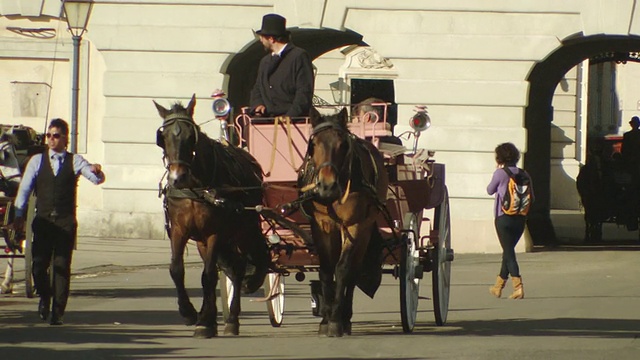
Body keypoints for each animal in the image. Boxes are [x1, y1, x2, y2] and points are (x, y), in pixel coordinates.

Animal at [154, 95, 268, 338]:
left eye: (191, 136)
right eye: (163, 137)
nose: (177, 177)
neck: (195, 187)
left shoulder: (215, 232)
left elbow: (208, 276)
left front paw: (203, 319)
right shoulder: (179, 230)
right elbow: (177, 269)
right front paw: (191, 313)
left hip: (244, 230)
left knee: (241, 267)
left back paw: (233, 317)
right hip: (207, 240)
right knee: (228, 267)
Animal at [302, 107, 390, 338]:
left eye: (342, 145)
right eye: (314, 144)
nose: (326, 186)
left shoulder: (354, 225)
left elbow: (342, 269)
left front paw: (335, 320)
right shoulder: (321, 225)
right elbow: (326, 269)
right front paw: (325, 318)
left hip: (366, 227)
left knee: (354, 270)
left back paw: (346, 317)